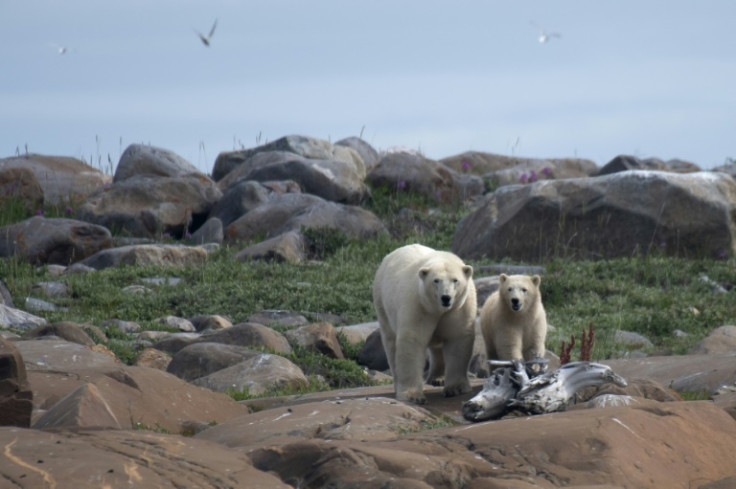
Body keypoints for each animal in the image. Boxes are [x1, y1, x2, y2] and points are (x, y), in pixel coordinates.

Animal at [374, 244, 478, 404]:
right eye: (436, 280)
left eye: (455, 280)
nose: (446, 297)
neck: (438, 309)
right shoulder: (418, 305)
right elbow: (413, 341)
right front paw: (413, 396)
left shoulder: (460, 308)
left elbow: (457, 339)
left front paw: (456, 388)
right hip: (382, 303)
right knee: (391, 344)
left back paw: (438, 378)